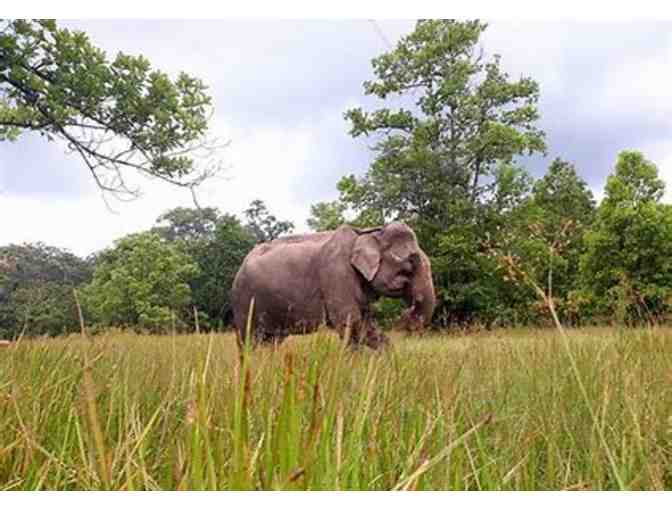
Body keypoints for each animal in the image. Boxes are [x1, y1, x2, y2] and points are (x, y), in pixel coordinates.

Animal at [231, 222, 435, 349]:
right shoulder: (336, 274)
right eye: (409, 266)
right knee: (248, 340)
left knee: (272, 340)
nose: (406, 313)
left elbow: (365, 324)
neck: (368, 233)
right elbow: (350, 323)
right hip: (244, 301)